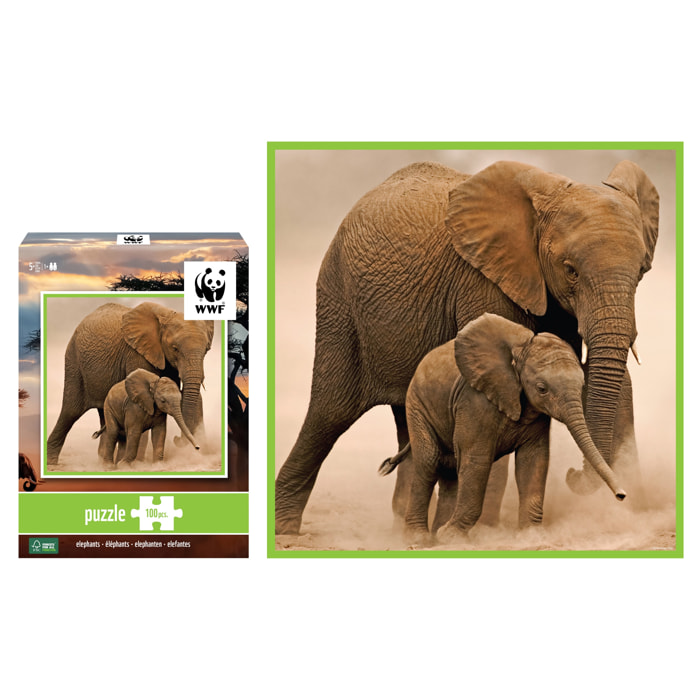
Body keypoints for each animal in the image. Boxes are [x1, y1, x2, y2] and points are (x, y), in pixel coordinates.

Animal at [47, 301, 214, 465]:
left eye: (207, 350)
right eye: (175, 348)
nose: (178, 440)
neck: (166, 314)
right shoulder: (136, 352)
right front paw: (138, 464)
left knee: (103, 416)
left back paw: (103, 463)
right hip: (73, 361)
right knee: (71, 411)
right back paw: (52, 462)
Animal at [379, 314, 626, 545]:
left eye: (582, 385)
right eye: (542, 389)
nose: (622, 495)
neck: (519, 353)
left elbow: (533, 460)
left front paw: (532, 537)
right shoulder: (475, 400)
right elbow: (477, 461)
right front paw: (452, 537)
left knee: (449, 469)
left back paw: (436, 535)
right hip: (417, 405)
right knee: (429, 462)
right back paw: (419, 539)